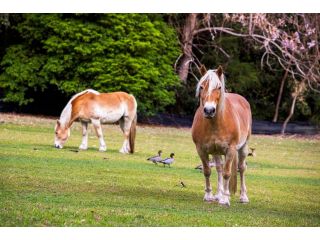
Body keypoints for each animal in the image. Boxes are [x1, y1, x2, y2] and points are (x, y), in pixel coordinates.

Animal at [191, 65, 251, 206]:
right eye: (201, 86)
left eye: (218, 87)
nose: (209, 110)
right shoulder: (201, 150)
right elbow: (207, 171)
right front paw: (209, 195)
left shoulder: (230, 150)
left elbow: (227, 174)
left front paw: (225, 199)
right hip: (216, 151)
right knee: (219, 168)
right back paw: (219, 194)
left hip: (243, 147)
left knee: (241, 168)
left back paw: (243, 197)